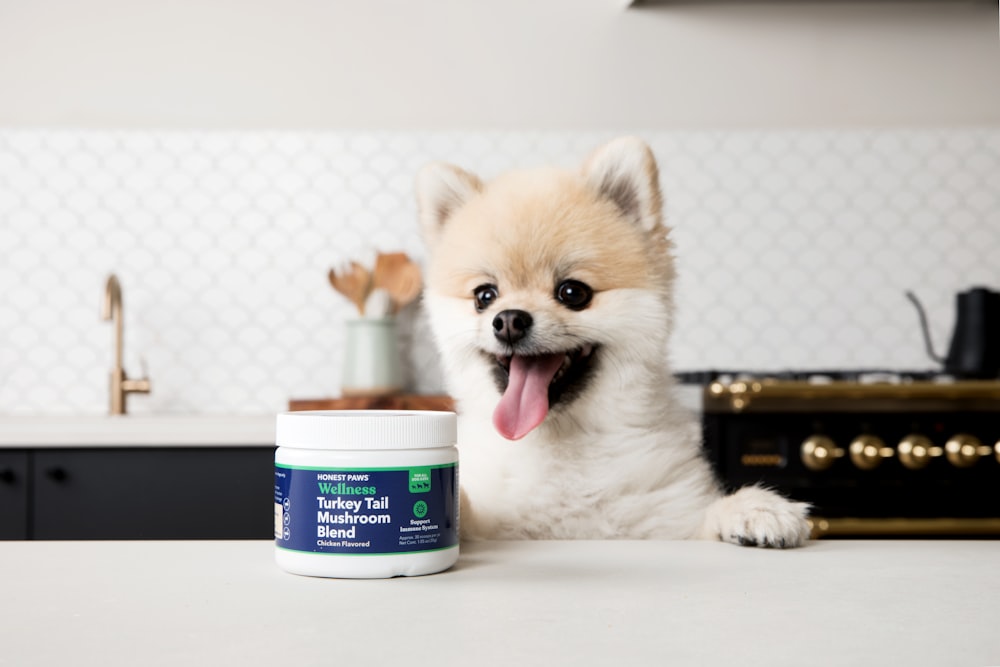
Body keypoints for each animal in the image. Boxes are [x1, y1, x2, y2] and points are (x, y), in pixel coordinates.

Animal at [414, 136, 812, 548]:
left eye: (573, 292)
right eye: (485, 296)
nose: (508, 321)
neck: (560, 445)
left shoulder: (670, 520)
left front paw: (754, 508)